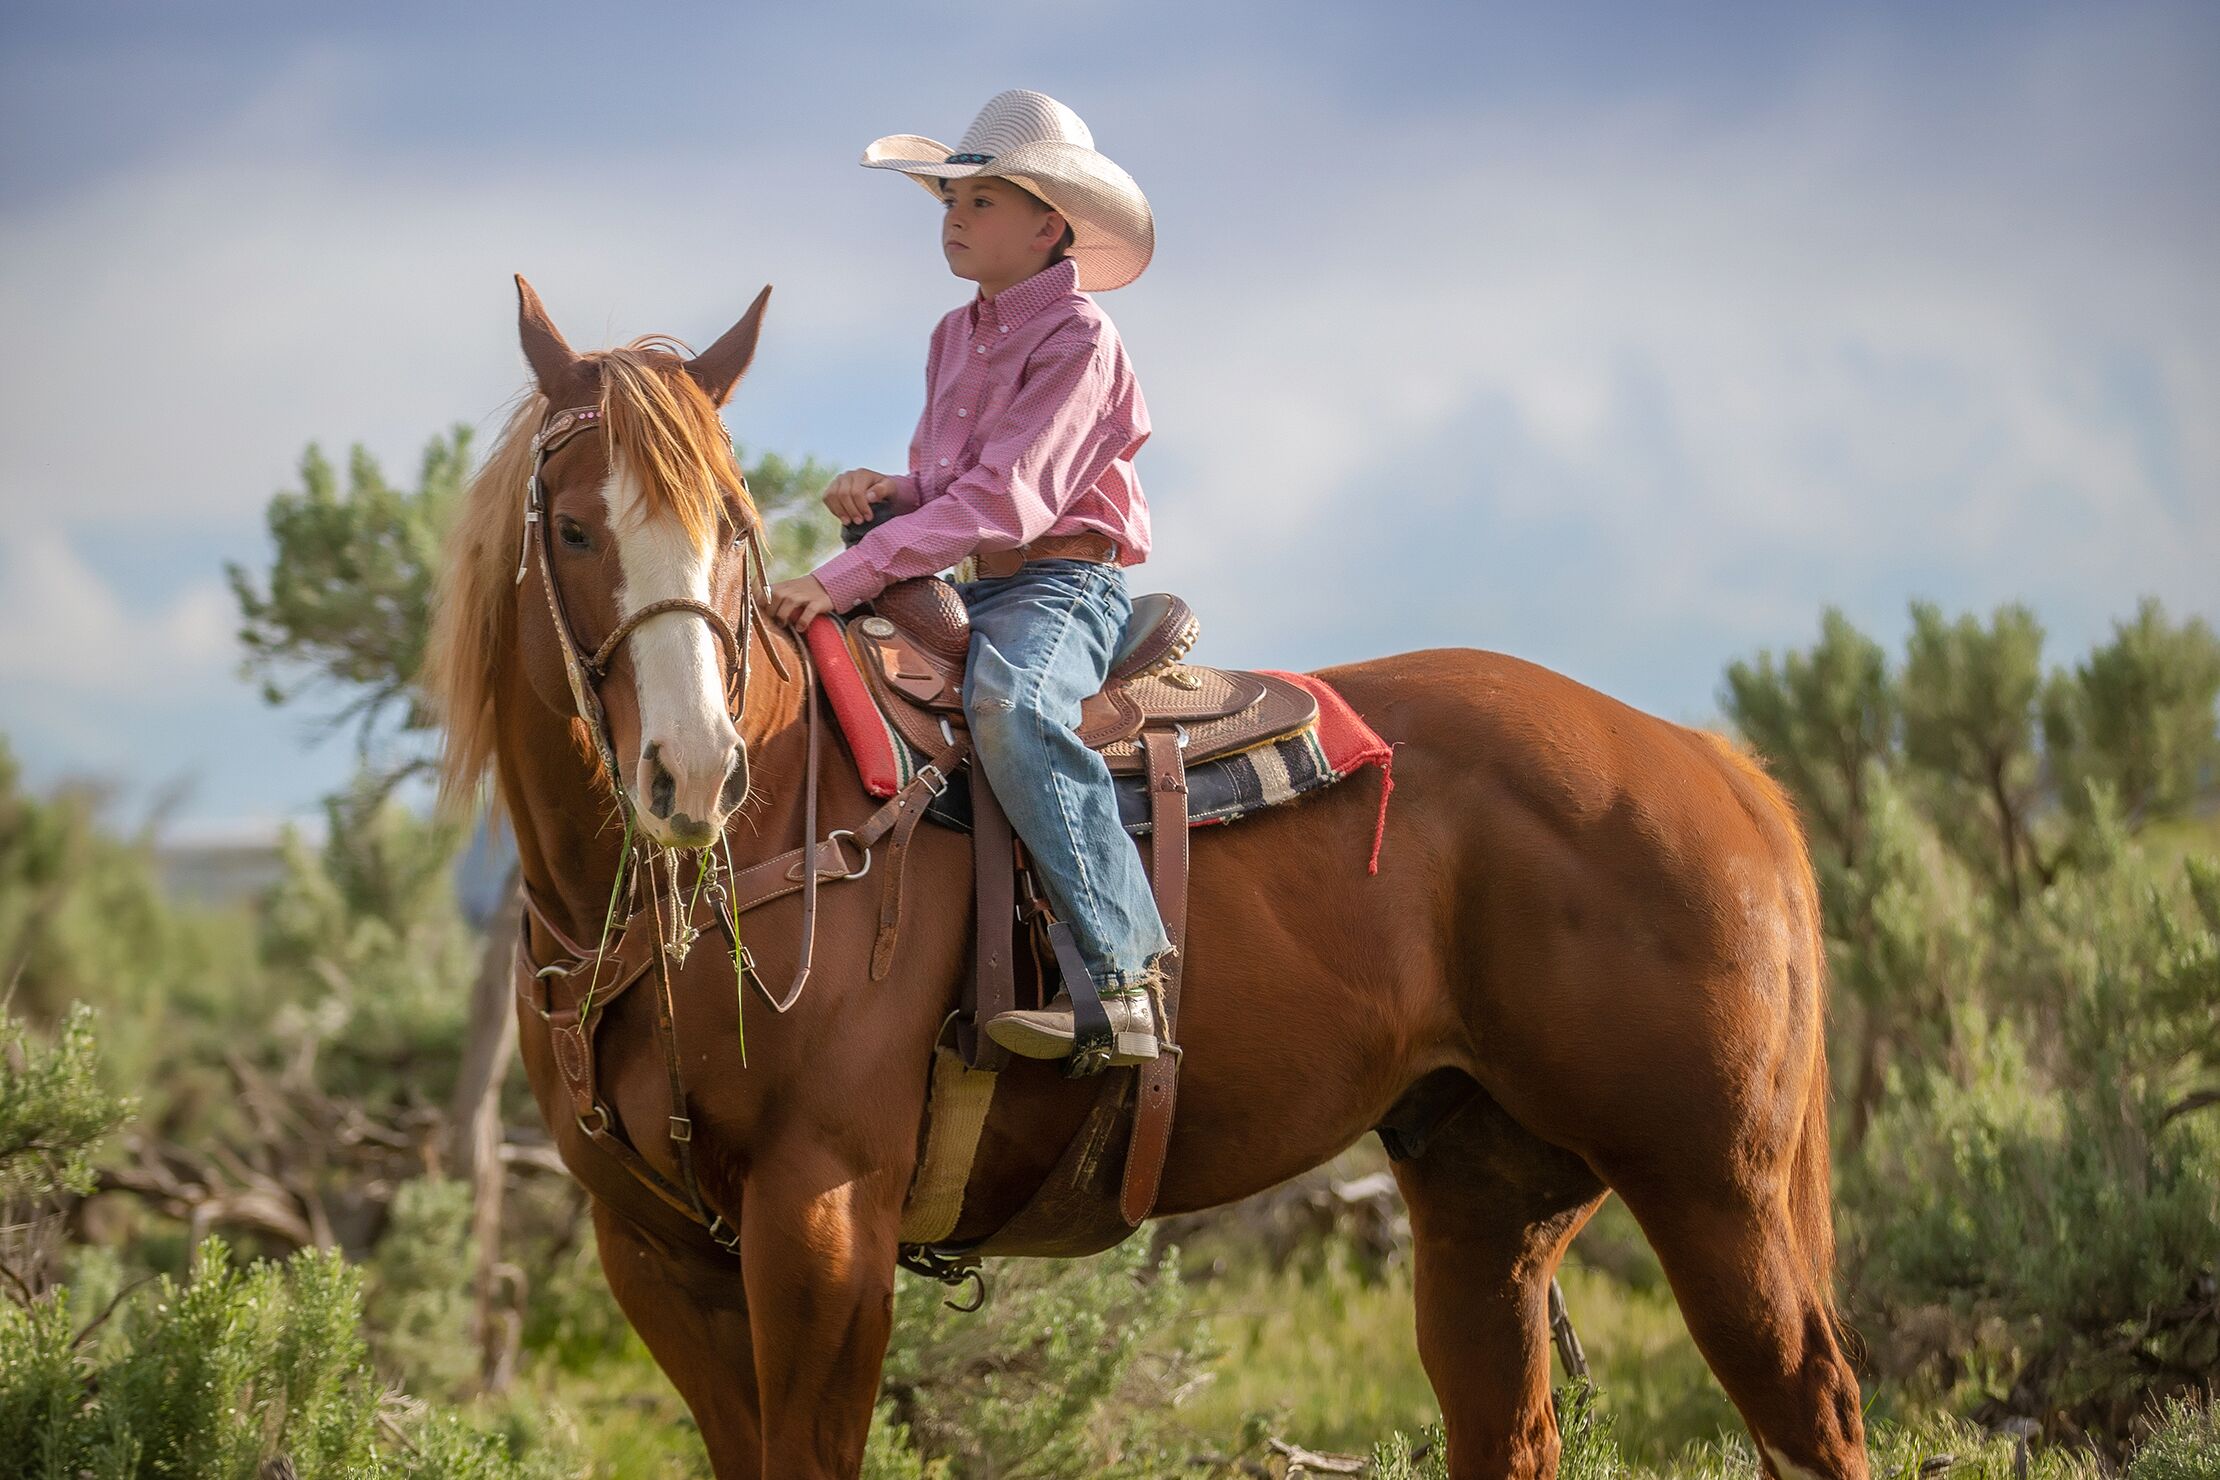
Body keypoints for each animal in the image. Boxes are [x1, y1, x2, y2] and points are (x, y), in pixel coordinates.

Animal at [424, 280, 1864, 1480]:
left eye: (732, 526)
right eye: (572, 528)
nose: (693, 771)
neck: (773, 823)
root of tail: (1712, 762)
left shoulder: (821, 1219)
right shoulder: (658, 1254)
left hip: (1714, 1189)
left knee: (1813, 1408)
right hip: (1491, 1195)